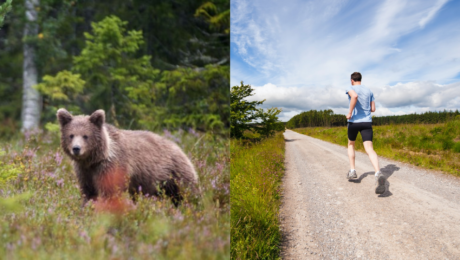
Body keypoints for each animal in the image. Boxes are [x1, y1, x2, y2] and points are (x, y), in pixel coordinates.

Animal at [55, 107, 198, 205]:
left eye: (85, 136)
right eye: (71, 135)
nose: (76, 148)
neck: (95, 159)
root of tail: (178, 147)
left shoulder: (111, 167)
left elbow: (109, 191)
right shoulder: (85, 171)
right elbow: (88, 192)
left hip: (175, 173)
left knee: (188, 193)